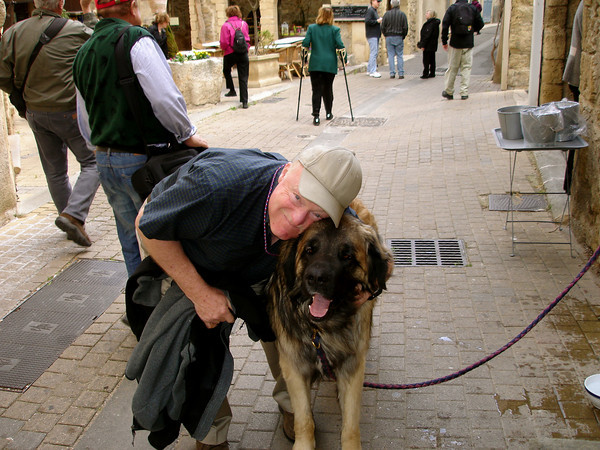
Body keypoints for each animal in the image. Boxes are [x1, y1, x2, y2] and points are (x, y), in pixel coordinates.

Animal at [268, 201, 392, 450]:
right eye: (309, 250)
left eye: (346, 255)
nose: (316, 278)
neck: (321, 331)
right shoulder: (294, 366)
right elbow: (304, 419)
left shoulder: (352, 365)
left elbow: (351, 425)